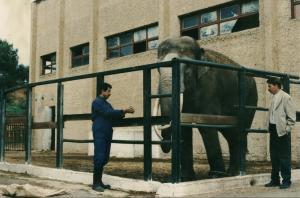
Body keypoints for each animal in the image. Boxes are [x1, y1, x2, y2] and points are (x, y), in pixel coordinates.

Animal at [157, 36, 258, 182]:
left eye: (186, 68)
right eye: (158, 69)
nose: (164, 146)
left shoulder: (209, 86)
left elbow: (206, 125)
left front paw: (216, 175)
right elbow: (184, 128)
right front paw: (186, 177)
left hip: (250, 98)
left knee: (240, 131)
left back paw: (235, 173)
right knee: (231, 134)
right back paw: (232, 172)